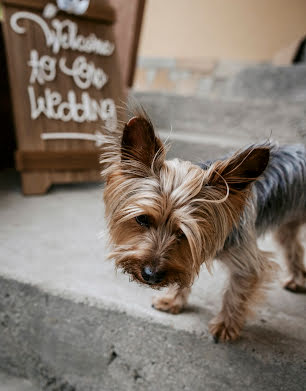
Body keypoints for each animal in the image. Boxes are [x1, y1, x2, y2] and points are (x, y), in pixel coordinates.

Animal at [101, 109, 306, 344]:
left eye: (183, 233)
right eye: (142, 219)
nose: (150, 275)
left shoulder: (246, 259)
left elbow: (236, 292)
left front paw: (226, 325)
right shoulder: (186, 257)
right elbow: (184, 274)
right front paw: (173, 300)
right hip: (288, 223)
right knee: (293, 245)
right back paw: (297, 279)